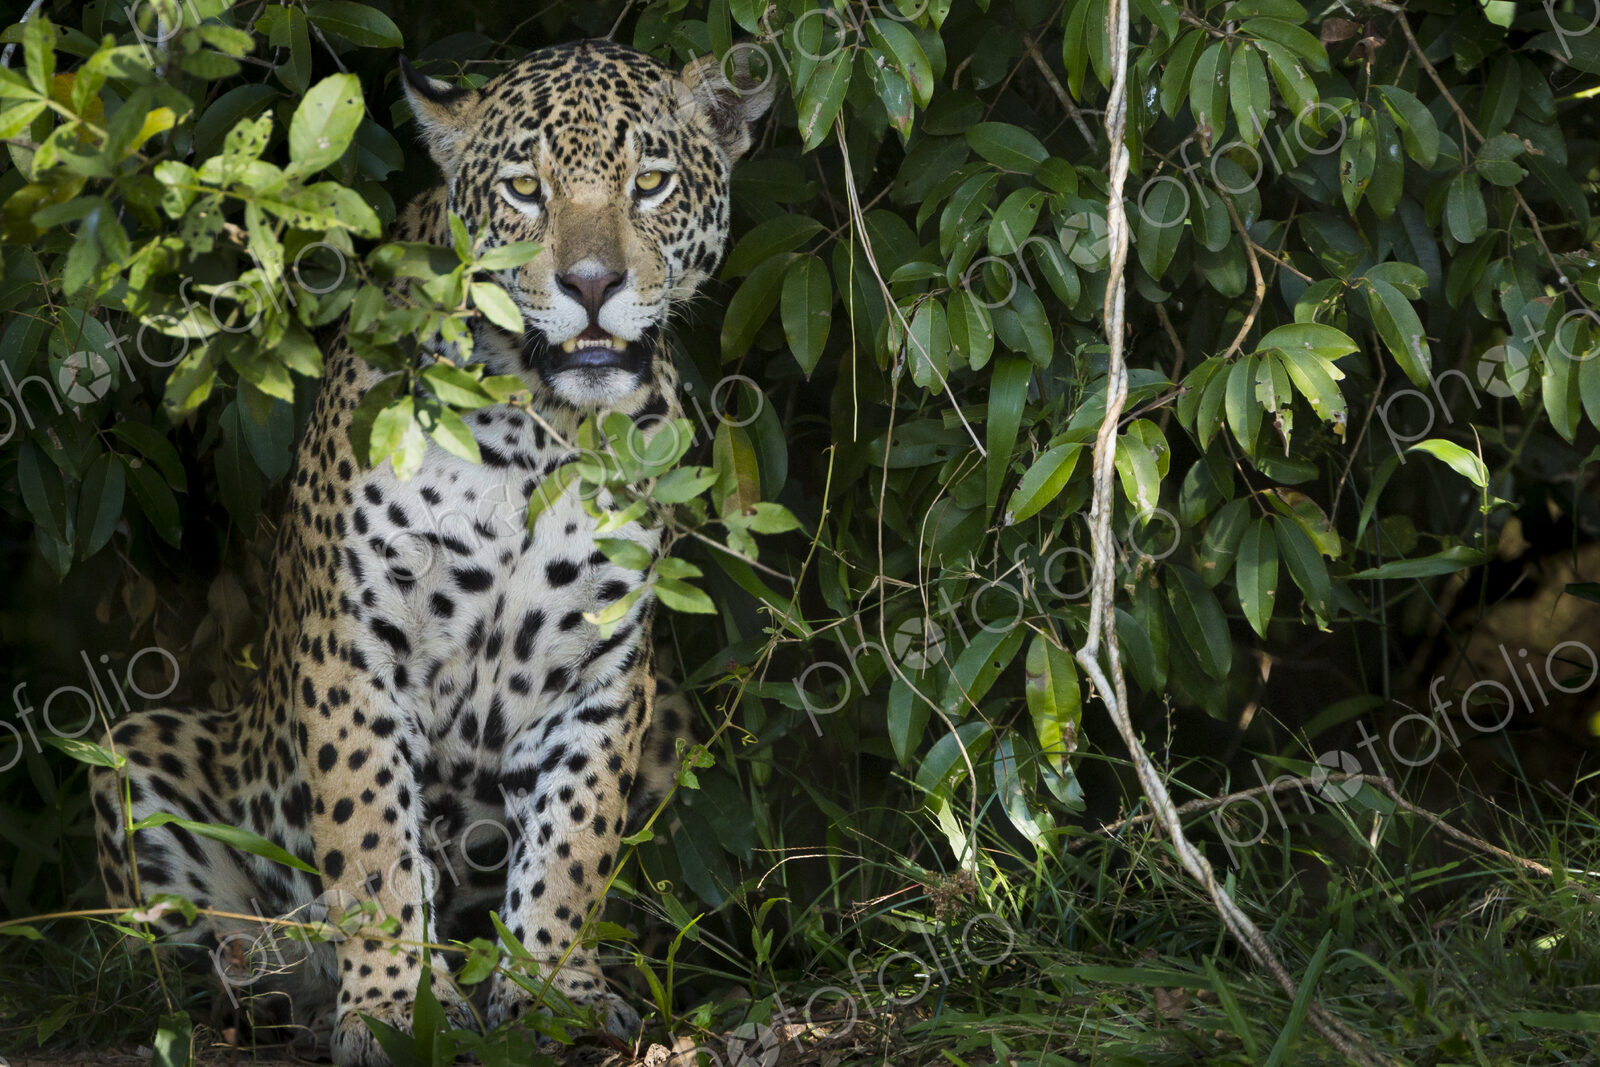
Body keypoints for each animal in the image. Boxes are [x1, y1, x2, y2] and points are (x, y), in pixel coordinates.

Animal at [89, 38, 773, 1066]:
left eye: (649, 182)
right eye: (526, 189)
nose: (591, 285)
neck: (542, 424)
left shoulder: (603, 675)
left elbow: (574, 847)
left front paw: (552, 993)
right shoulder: (352, 654)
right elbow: (370, 845)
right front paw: (392, 1007)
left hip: (676, 720)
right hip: (139, 749)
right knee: (198, 951)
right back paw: (271, 982)